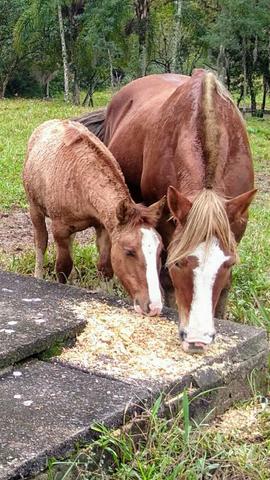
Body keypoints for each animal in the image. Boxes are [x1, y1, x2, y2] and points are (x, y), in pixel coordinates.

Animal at [23, 119, 166, 316]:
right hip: (34, 208)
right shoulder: (59, 229)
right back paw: (39, 275)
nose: (154, 307)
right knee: (41, 241)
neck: (80, 179)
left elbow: (105, 267)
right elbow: (62, 267)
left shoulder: (104, 227)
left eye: (161, 251)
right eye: (129, 251)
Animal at [79, 68, 256, 352]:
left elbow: (225, 288)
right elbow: (166, 280)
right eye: (179, 262)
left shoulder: (236, 226)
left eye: (228, 264)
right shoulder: (164, 220)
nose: (197, 339)